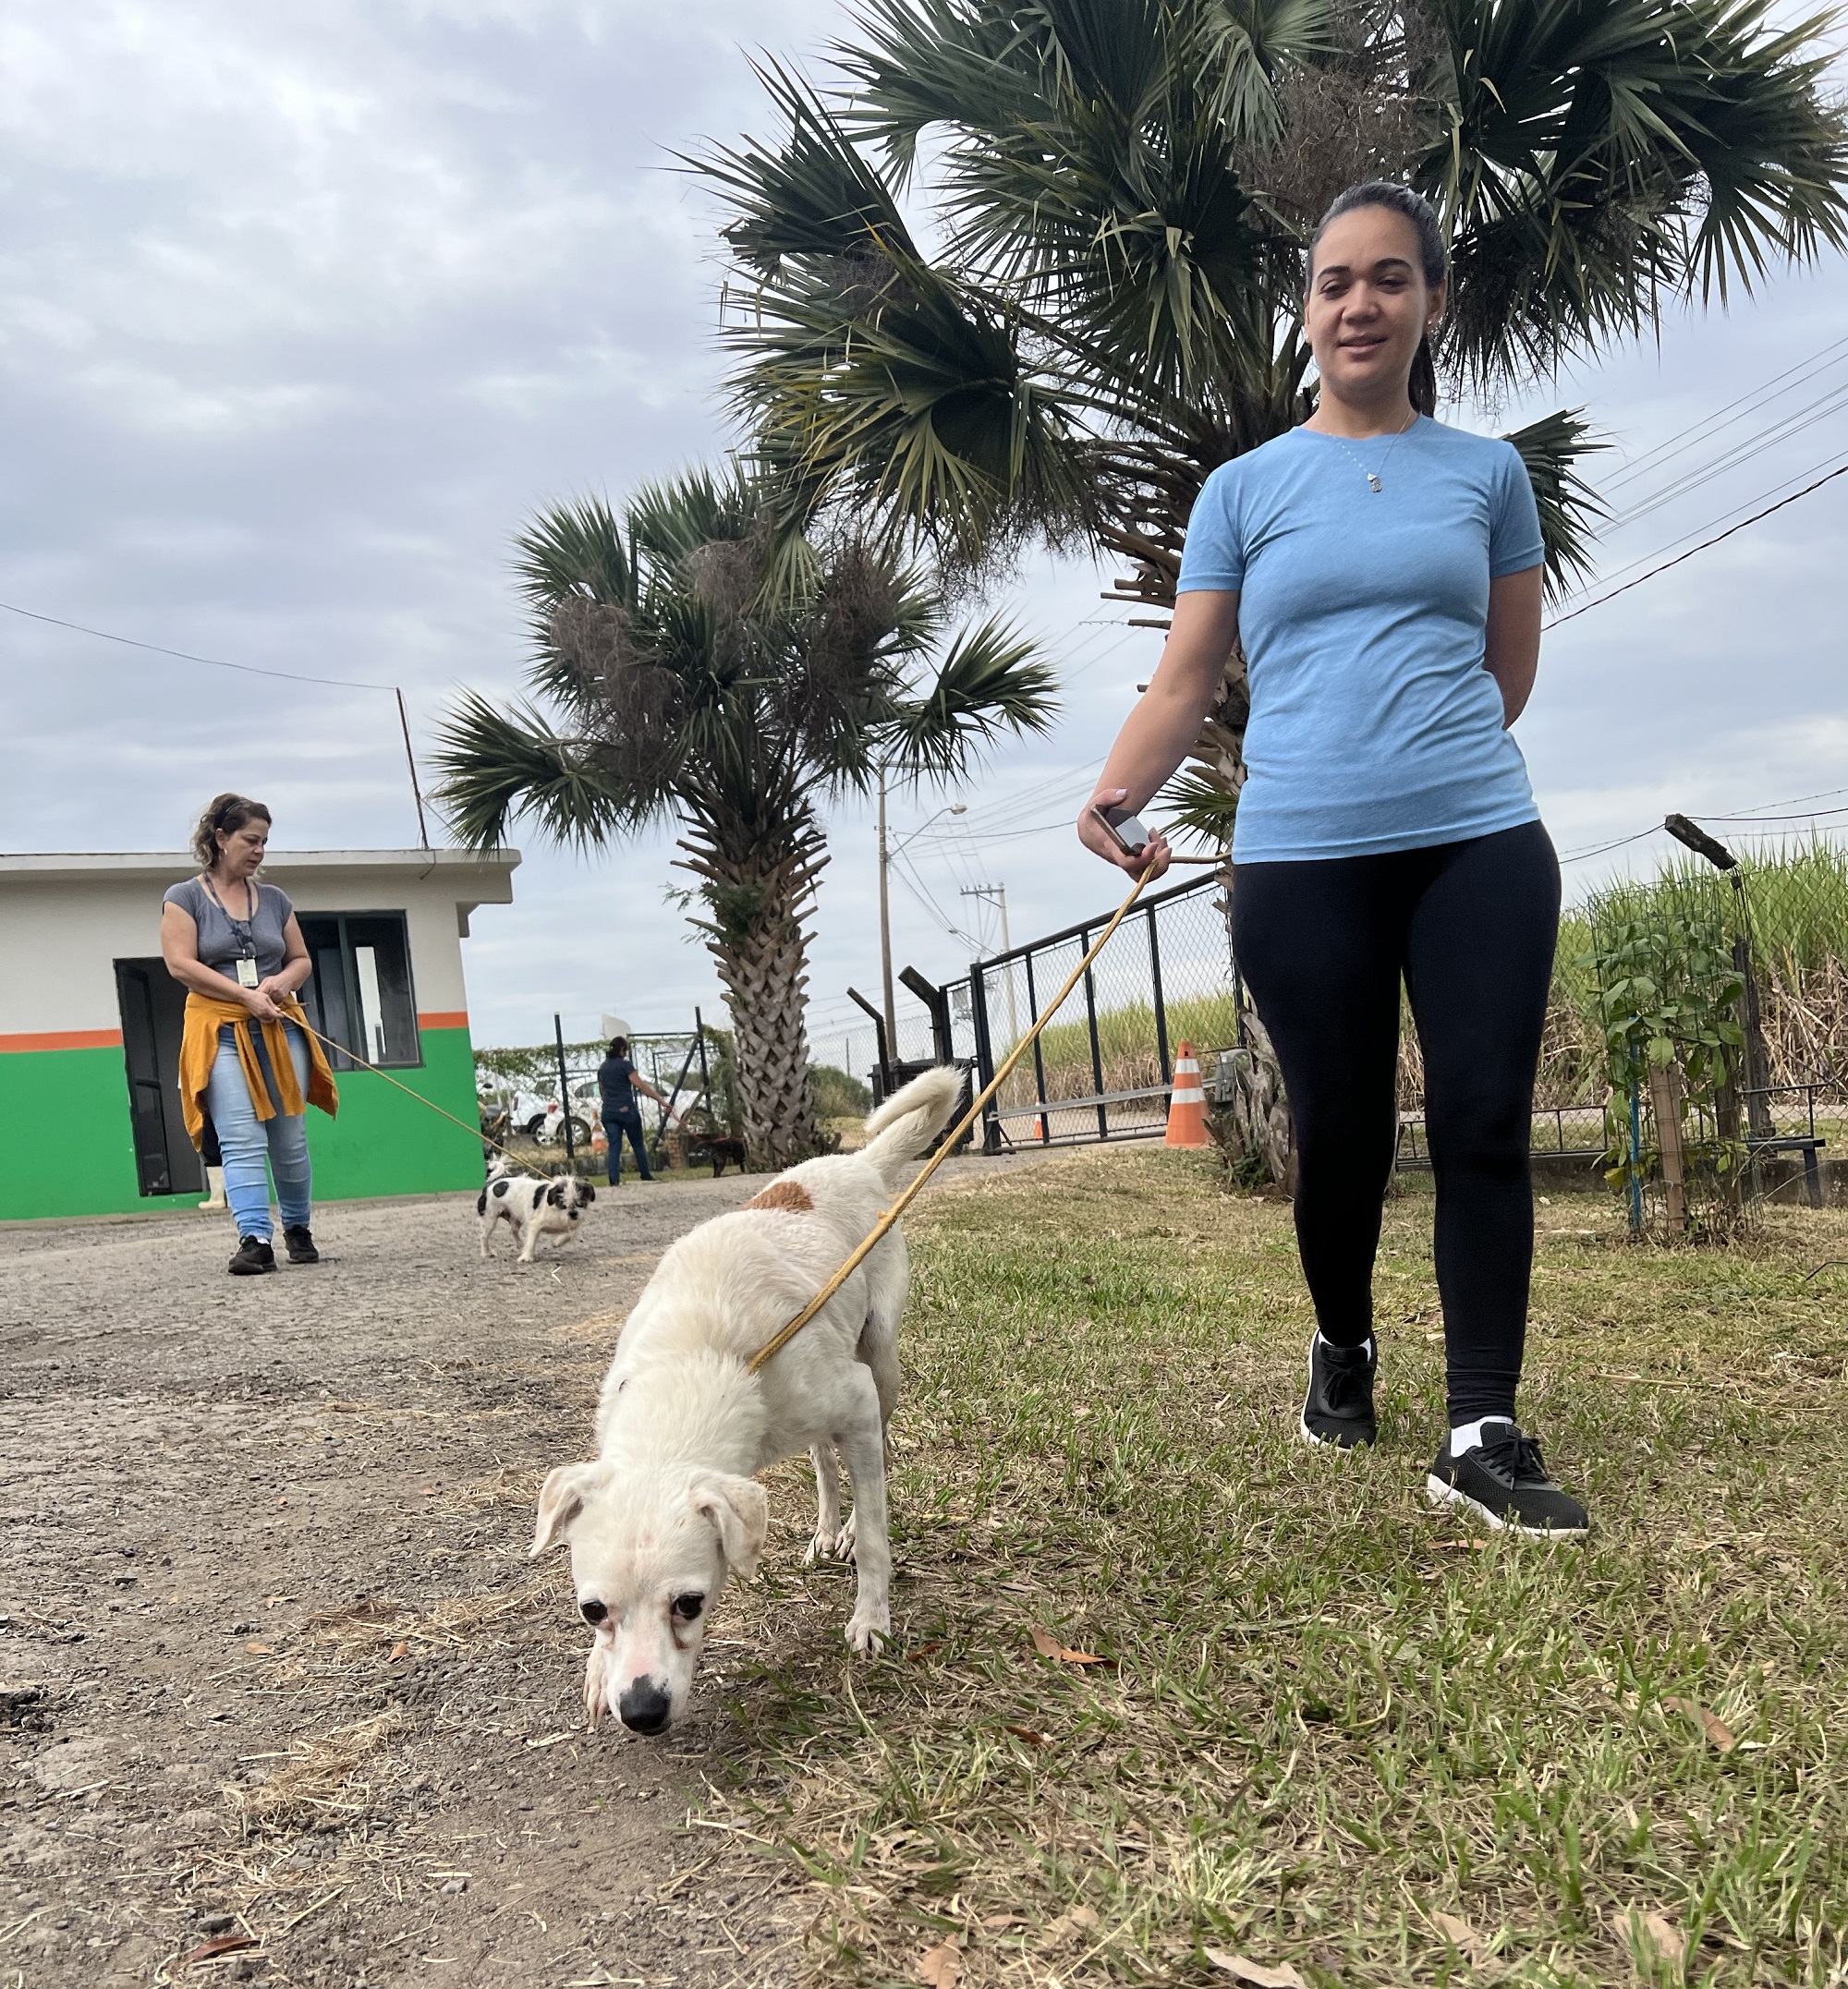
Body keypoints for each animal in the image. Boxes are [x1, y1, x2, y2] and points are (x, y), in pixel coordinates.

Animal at [478, 1161, 596, 1264]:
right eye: (563, 1204)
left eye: (580, 1203)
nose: (573, 1213)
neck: (557, 1212)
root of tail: (492, 1184)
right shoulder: (535, 1224)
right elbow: (531, 1242)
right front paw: (526, 1257)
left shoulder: (574, 1224)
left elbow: (572, 1233)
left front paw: (558, 1242)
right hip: (490, 1219)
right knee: (484, 1236)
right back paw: (487, 1253)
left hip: (515, 1218)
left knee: (513, 1230)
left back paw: (520, 1244)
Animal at [528, 1065, 962, 1735]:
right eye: (591, 1609)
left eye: (690, 1602)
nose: (642, 1713)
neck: (692, 1360)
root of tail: (856, 1162)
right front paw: (600, 1671)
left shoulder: (856, 1399)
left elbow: (874, 1537)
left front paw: (871, 1619)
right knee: (822, 1461)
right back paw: (826, 1528)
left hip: (880, 1362)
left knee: (876, 1456)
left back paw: (850, 1525)